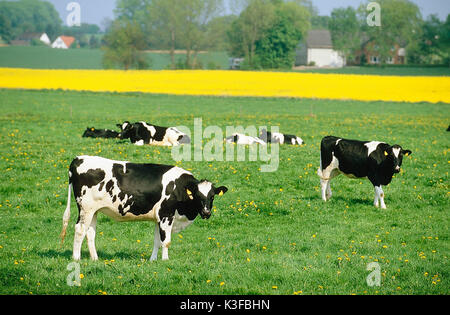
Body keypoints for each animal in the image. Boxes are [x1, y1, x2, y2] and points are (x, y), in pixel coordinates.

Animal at [60, 156, 229, 262]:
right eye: (197, 196)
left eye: (212, 196)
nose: (206, 212)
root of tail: (78, 158)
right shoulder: (166, 215)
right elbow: (166, 241)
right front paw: (165, 260)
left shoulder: (158, 218)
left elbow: (157, 241)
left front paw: (153, 260)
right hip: (85, 208)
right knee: (80, 229)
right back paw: (76, 258)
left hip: (93, 210)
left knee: (90, 233)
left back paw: (95, 259)